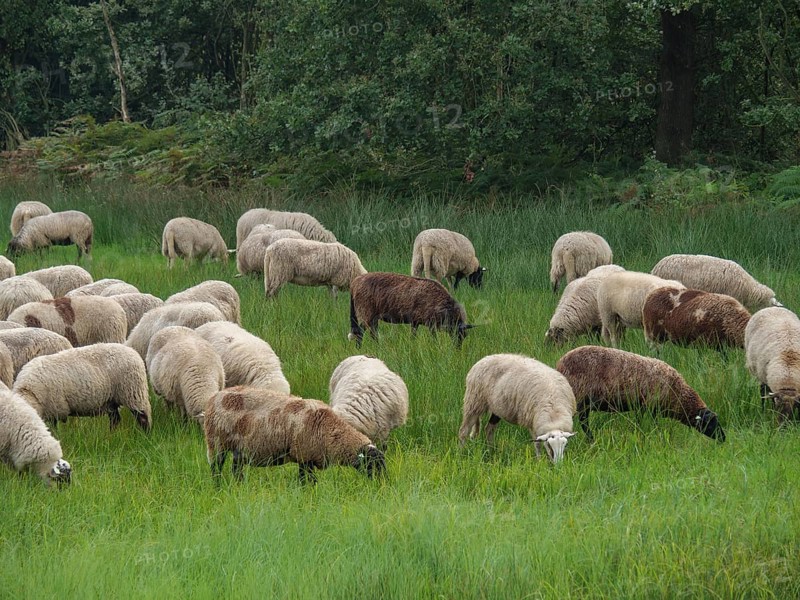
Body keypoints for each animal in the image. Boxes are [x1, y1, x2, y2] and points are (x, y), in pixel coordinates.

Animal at [13, 343, 151, 431]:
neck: (29, 390)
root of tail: (133, 352)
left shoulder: (55, 408)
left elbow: (54, 428)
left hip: (133, 391)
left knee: (143, 416)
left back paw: (146, 435)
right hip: (111, 400)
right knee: (115, 419)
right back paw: (111, 435)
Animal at [204, 386, 385, 484]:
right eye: (373, 465)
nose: (382, 485)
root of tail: (215, 397)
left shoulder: (308, 457)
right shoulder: (304, 456)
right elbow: (307, 481)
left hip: (238, 450)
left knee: (236, 470)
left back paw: (239, 486)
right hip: (216, 442)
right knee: (215, 468)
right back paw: (218, 487)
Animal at [555, 345, 725, 442]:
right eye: (711, 423)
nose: (724, 438)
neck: (677, 393)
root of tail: (560, 364)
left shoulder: (643, 407)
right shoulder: (649, 406)